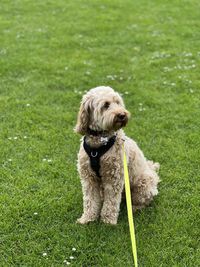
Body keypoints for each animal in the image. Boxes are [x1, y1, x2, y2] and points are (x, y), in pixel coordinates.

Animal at [74, 87, 160, 225]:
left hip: (143, 183)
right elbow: (90, 200)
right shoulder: (88, 178)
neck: (99, 142)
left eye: (118, 102)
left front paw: (108, 221)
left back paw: (134, 208)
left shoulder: (114, 177)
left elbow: (111, 201)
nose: (122, 115)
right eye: (106, 105)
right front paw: (87, 218)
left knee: (143, 199)